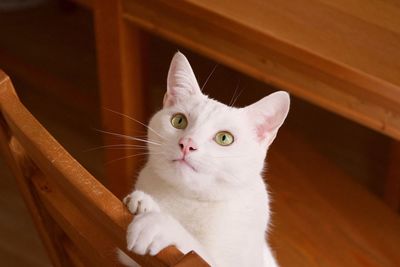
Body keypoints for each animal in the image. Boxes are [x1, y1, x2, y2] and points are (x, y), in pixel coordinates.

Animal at [117, 52, 290, 267]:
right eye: (179, 120)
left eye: (224, 138)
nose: (187, 144)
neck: (190, 198)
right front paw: (144, 203)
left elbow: (197, 250)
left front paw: (157, 224)